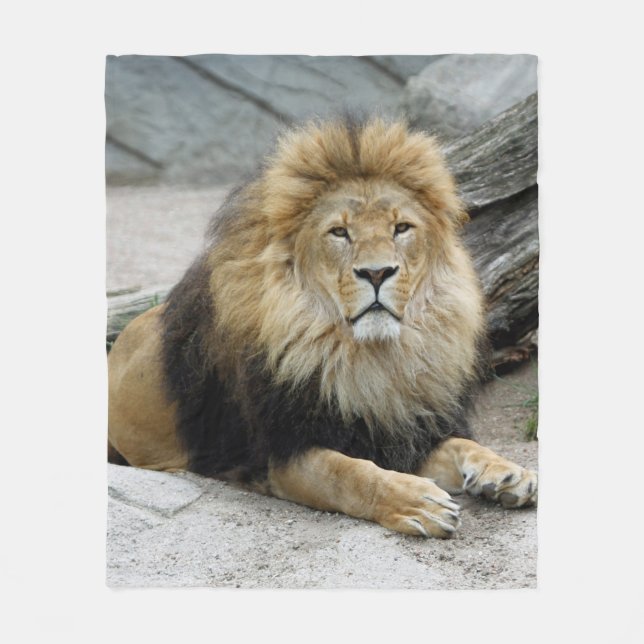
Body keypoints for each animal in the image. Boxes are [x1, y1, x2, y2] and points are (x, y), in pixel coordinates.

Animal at [108, 116, 537, 538]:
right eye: (339, 232)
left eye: (401, 228)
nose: (377, 272)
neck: (373, 359)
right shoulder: (282, 454)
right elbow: (350, 473)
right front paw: (418, 501)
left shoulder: (403, 430)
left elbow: (462, 444)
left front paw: (506, 473)